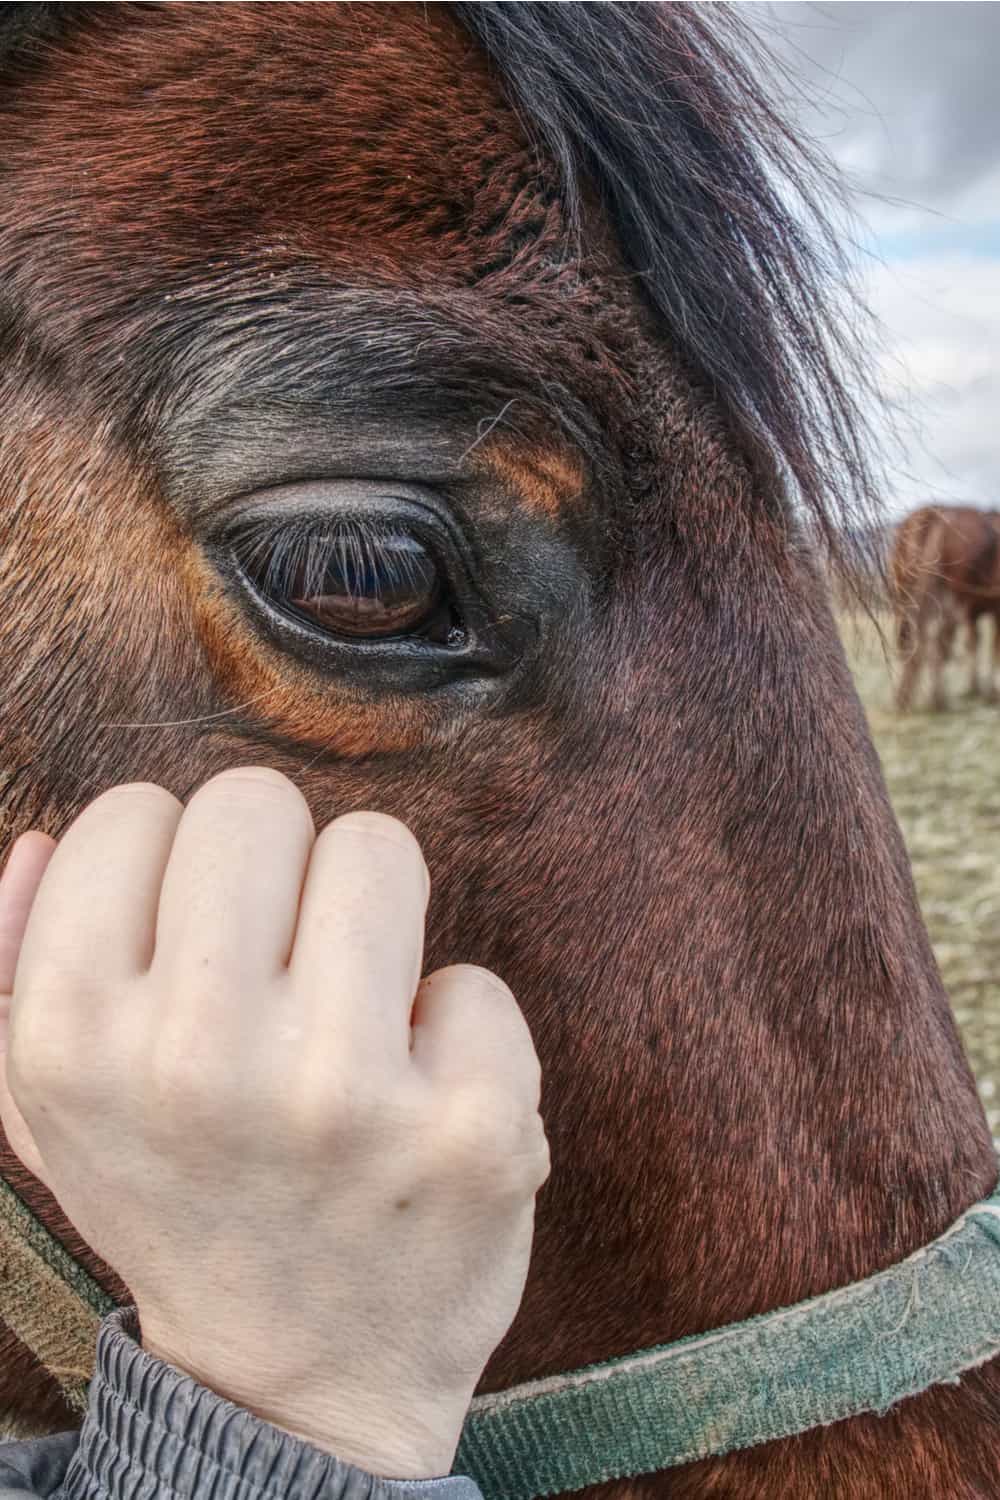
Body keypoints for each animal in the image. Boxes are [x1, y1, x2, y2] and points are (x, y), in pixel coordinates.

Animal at [892, 504, 1000, 711]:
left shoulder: (973, 611)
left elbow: (974, 643)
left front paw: (976, 689)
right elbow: (991, 647)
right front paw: (989, 692)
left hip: (910, 597)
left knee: (919, 640)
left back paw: (913, 698)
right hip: (946, 599)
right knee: (933, 643)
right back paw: (933, 700)